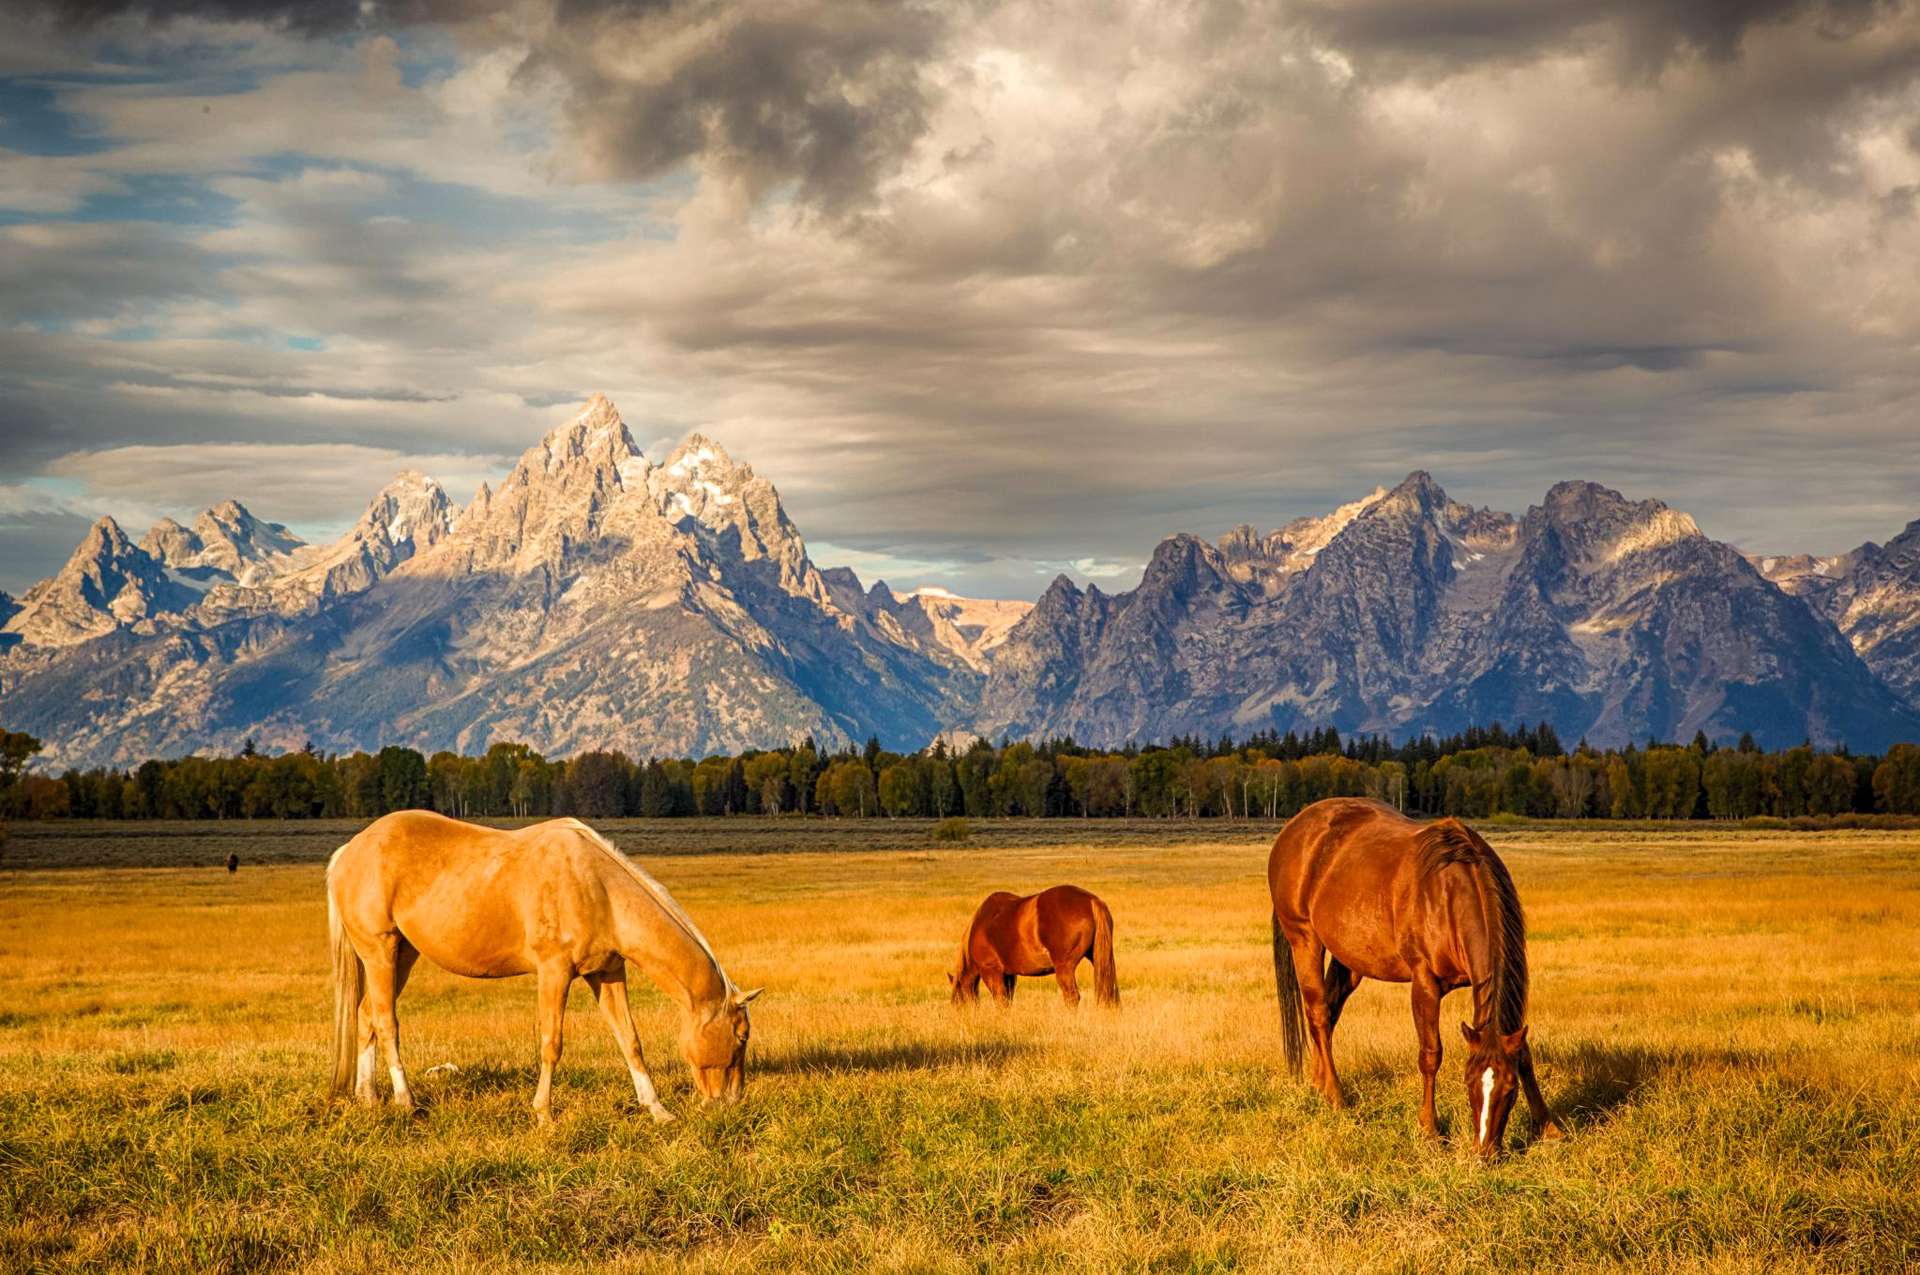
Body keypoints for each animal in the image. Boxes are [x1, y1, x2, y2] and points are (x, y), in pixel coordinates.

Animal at [326, 810, 752, 1121]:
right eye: (741, 1036)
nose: (730, 1102)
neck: (597, 888)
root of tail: (350, 849)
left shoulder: (607, 973)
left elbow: (630, 1040)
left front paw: (658, 1110)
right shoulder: (554, 972)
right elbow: (551, 1043)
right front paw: (544, 1113)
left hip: (402, 954)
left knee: (366, 1015)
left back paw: (368, 1097)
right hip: (379, 951)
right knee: (386, 1022)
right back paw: (405, 1101)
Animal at [948, 887, 1121, 1006]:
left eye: (958, 1002)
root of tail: (1091, 900)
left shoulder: (991, 971)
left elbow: (1001, 1001)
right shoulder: (1009, 975)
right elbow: (1007, 1002)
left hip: (1064, 968)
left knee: (1071, 997)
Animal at [1267, 802, 1566, 1159]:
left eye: (1510, 1088)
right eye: (1469, 1082)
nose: (1485, 1154)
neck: (1450, 897)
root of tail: (1295, 827)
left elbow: (1524, 1055)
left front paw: (1549, 1128)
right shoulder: (1425, 982)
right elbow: (1430, 1054)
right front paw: (1430, 1131)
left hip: (1347, 958)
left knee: (1328, 1011)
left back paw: (1319, 1085)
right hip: (1304, 939)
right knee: (1318, 1014)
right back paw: (1337, 1097)